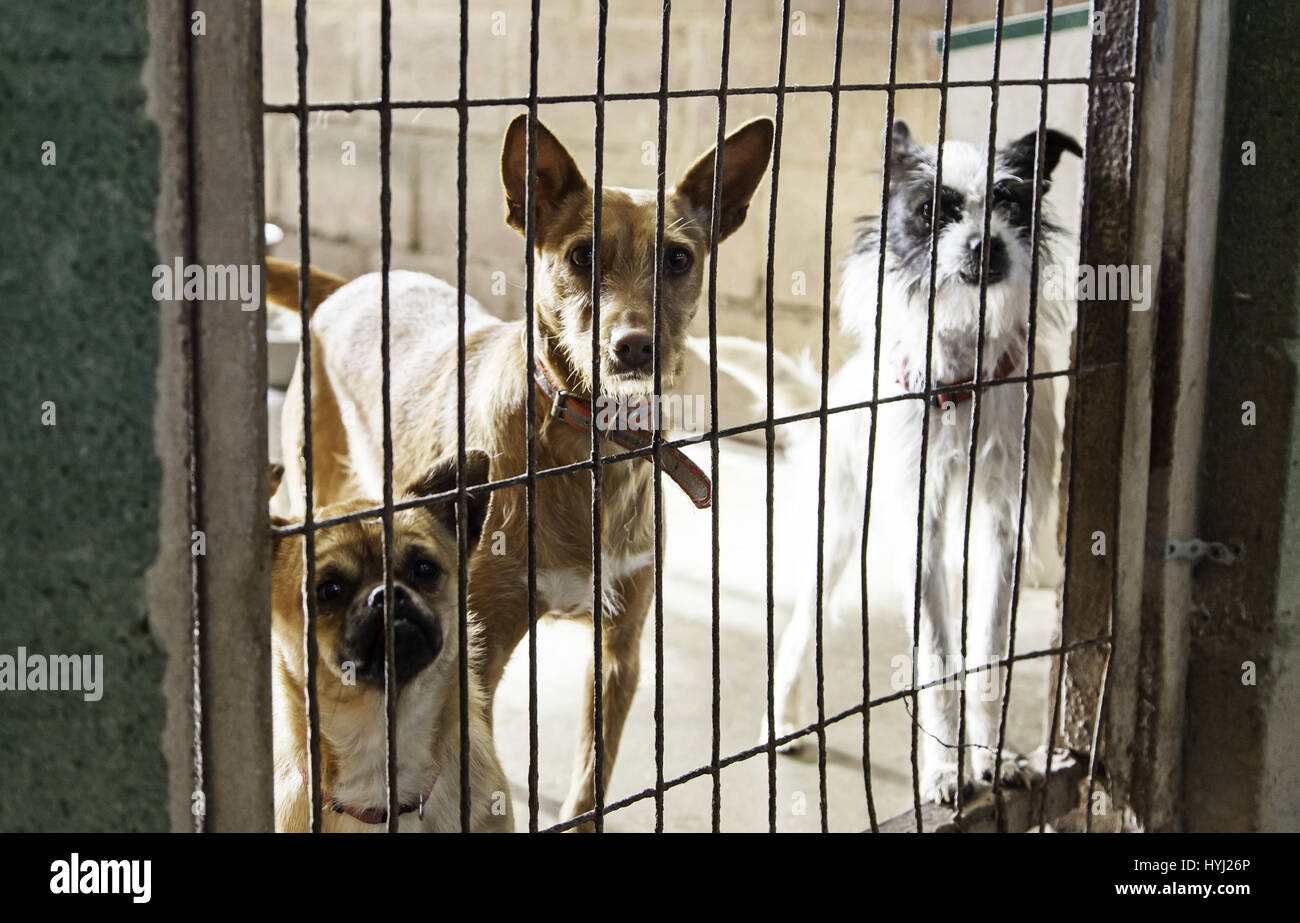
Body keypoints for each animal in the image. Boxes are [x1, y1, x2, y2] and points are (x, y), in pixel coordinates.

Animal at [707, 120, 1081, 800]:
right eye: (931, 211)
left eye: (1012, 202)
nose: (987, 246)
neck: (959, 384)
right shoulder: (919, 529)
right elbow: (935, 656)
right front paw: (942, 768)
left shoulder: (1001, 527)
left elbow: (987, 653)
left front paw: (990, 757)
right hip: (833, 535)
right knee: (800, 628)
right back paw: (784, 720)